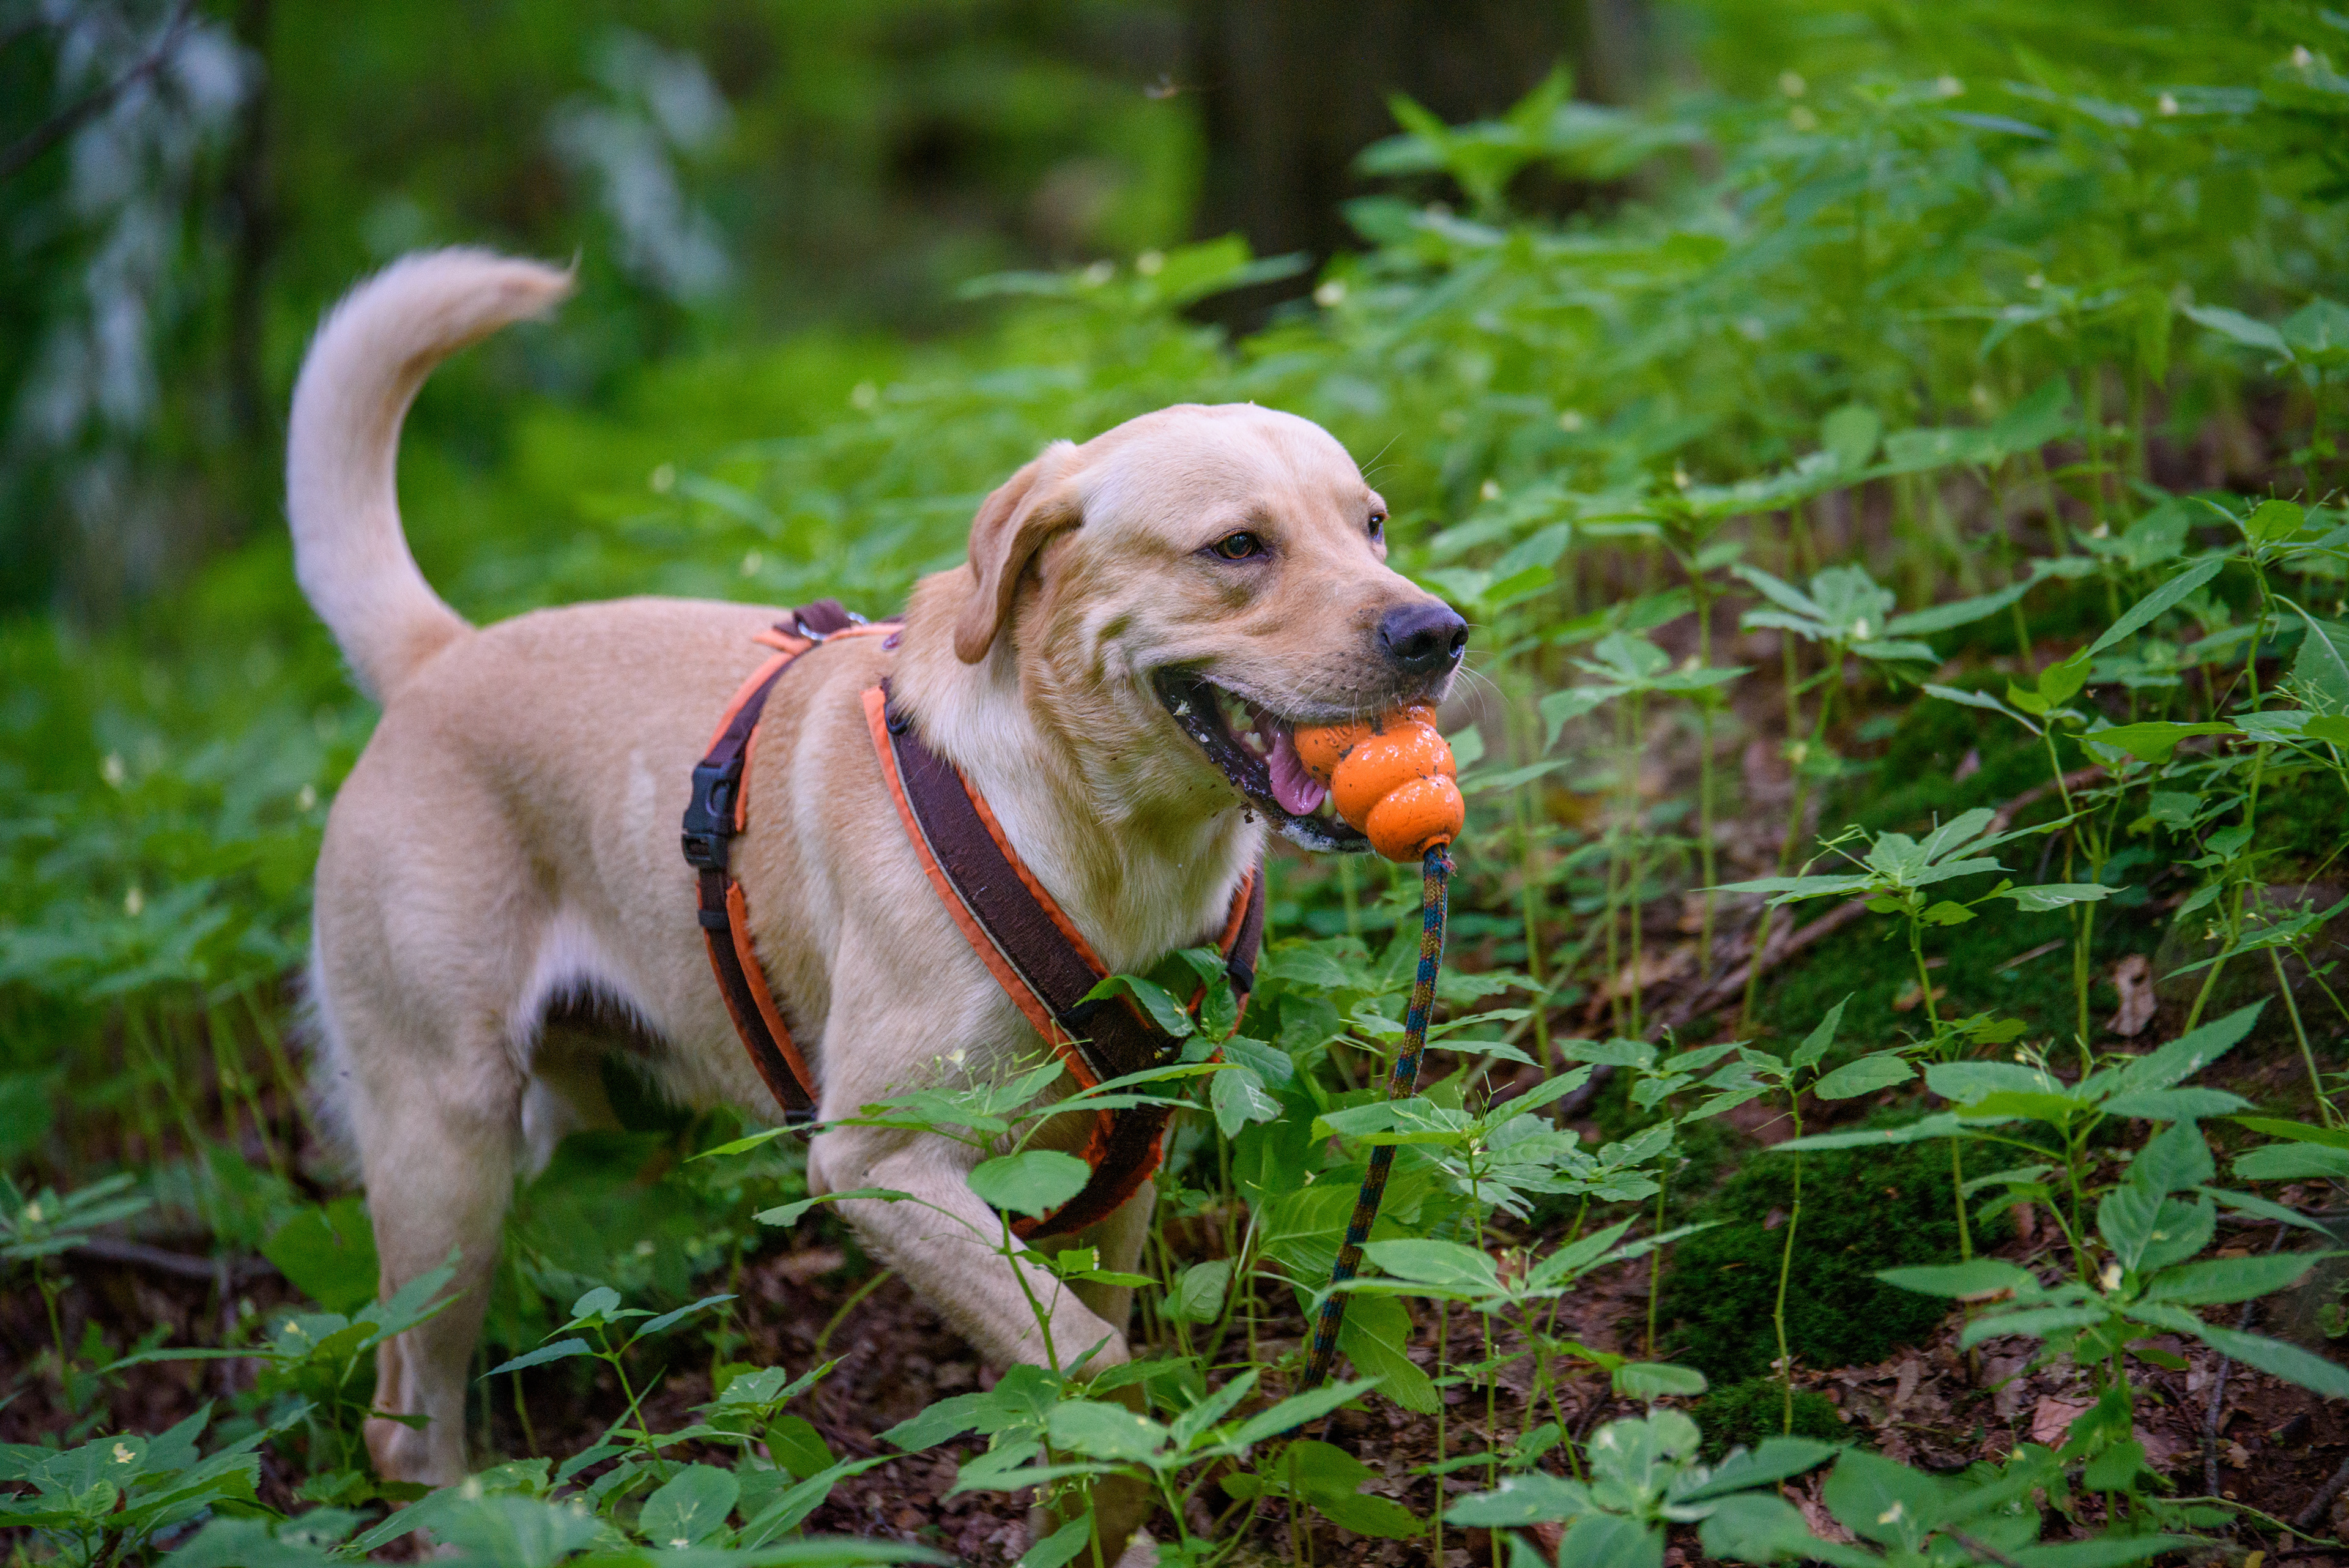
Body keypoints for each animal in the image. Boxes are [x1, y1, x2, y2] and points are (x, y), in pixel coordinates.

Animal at [291, 249, 1466, 1554]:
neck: (1099, 837)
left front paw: (1101, 1531)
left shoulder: (1116, 1166)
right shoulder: (884, 1157)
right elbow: (1096, 1364)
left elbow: (1089, 1362)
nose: (1438, 632)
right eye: (1238, 547)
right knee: (403, 1420)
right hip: (446, 1147)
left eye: (1370, 523)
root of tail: (437, 654)